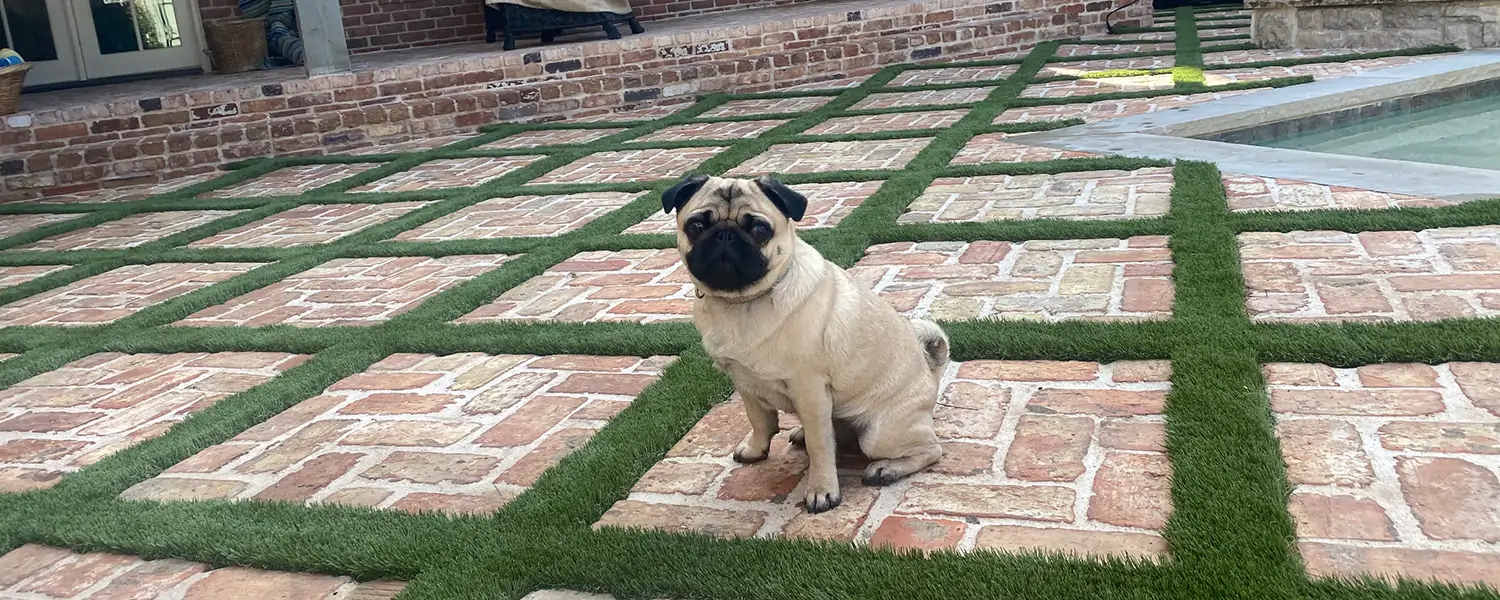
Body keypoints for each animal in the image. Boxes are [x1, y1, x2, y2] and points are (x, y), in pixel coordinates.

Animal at [660, 172, 948, 510]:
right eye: (696, 226)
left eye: (759, 229)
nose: (724, 236)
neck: (742, 303)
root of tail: (931, 374)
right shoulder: (745, 383)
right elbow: (759, 421)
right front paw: (756, 450)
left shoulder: (809, 390)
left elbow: (820, 446)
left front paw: (822, 490)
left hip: (879, 434)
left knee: (930, 450)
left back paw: (885, 469)